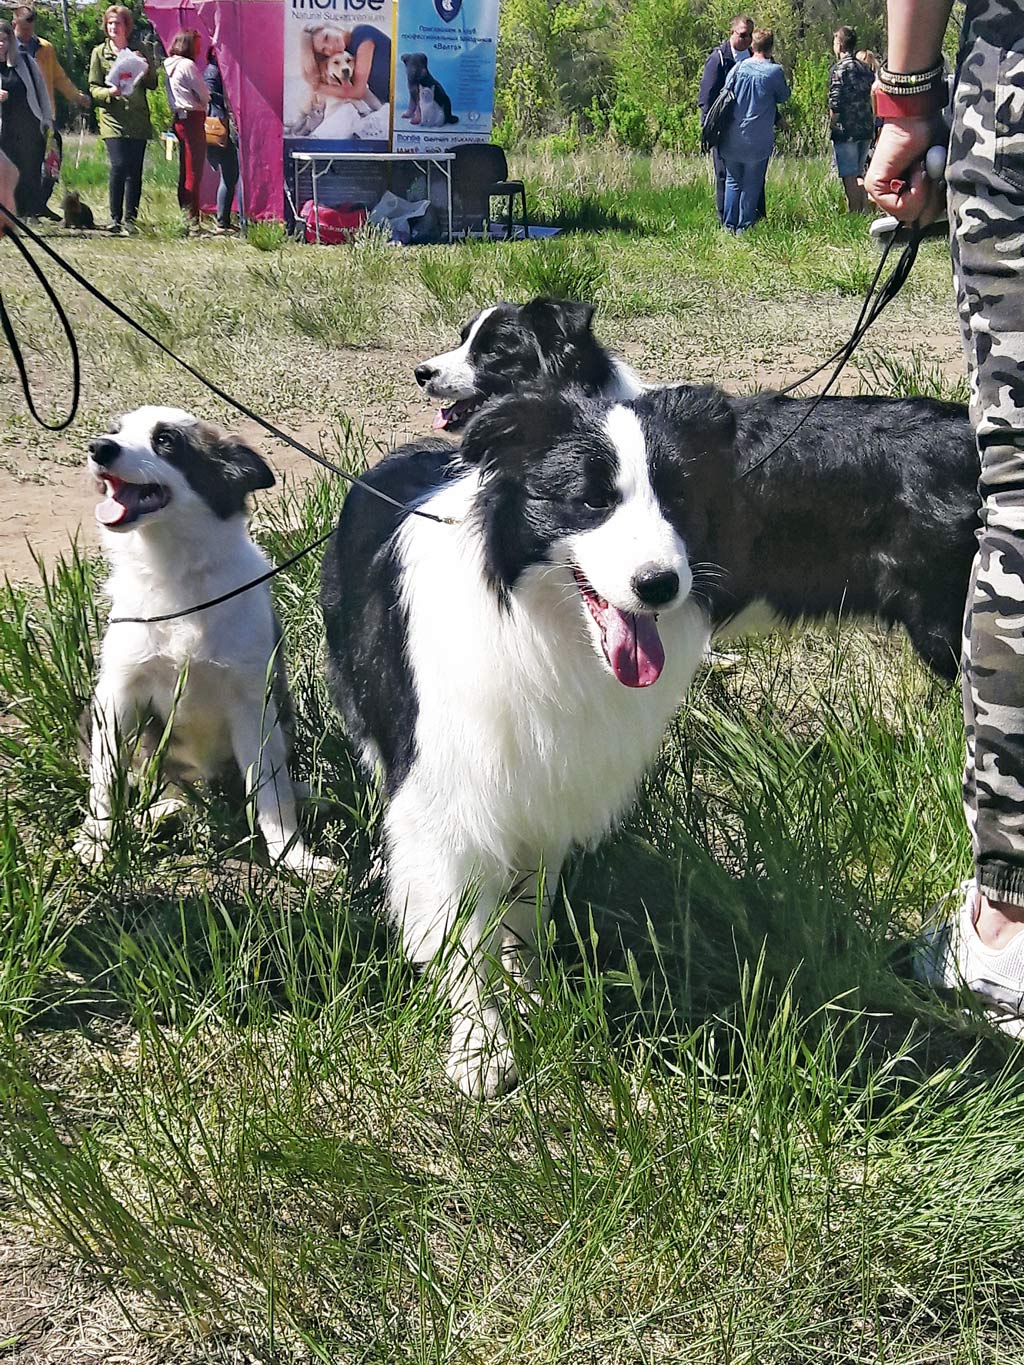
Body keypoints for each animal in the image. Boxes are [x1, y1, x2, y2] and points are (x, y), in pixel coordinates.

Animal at [78, 404, 330, 873]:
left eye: (166, 441)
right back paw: (155, 813)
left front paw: (293, 856)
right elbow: (104, 778)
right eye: (114, 431)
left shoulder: (254, 703)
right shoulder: (118, 695)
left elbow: (271, 793)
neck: (176, 571)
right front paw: (98, 841)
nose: (99, 448)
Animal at [320, 384, 731, 1097]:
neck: (539, 625)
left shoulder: (546, 790)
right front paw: (480, 1046)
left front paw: (528, 991)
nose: (659, 585)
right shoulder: (448, 802)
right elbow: (459, 933)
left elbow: (526, 910)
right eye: (592, 500)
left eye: (678, 498)